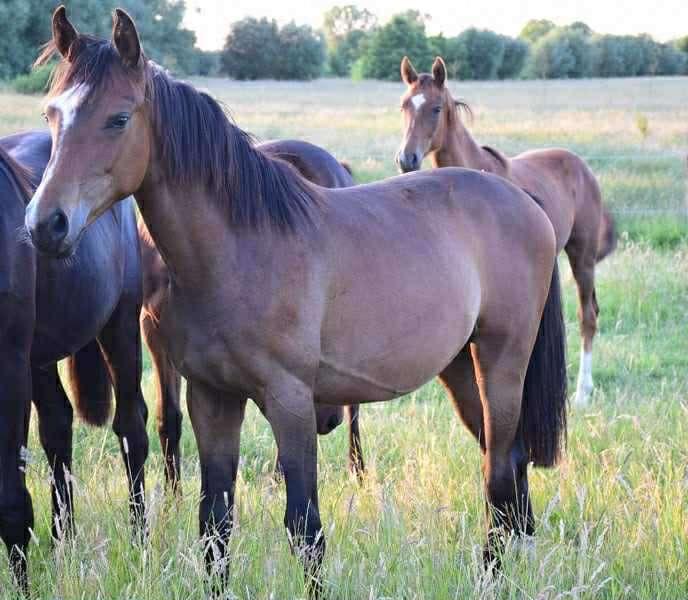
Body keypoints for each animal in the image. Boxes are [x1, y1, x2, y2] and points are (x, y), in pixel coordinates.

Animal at [0, 129, 147, 592]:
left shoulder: (10, 369)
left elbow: (11, 498)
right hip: (40, 357)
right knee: (57, 425)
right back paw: (62, 542)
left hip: (120, 324)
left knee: (131, 429)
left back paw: (139, 542)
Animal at [396, 56, 617, 407]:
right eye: (404, 105)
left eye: (435, 108)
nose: (407, 158)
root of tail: (581, 165)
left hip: (581, 256)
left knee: (588, 316)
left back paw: (583, 392)